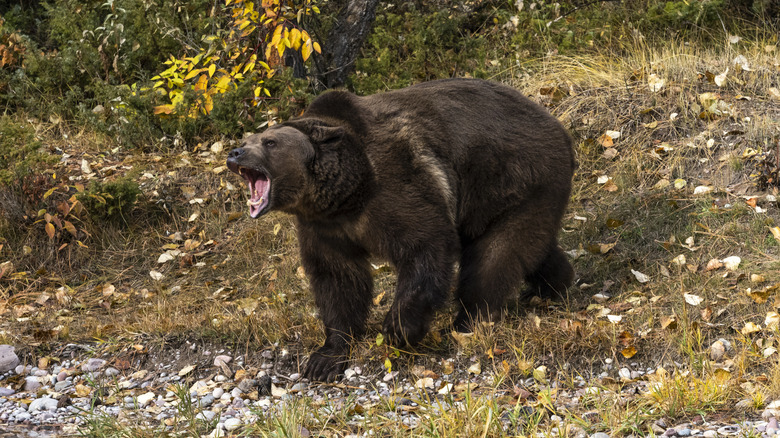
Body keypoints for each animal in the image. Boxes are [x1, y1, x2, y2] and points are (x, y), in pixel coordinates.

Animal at [225, 80, 572, 382]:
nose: (235, 153)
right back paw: (554, 283)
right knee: (529, 247)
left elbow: (425, 244)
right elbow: (337, 278)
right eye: (246, 142)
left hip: (517, 176)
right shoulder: (324, 227)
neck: (349, 195)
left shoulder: (396, 186)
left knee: (495, 256)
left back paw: (469, 319)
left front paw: (398, 328)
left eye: (269, 142)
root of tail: (556, 124)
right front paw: (325, 358)